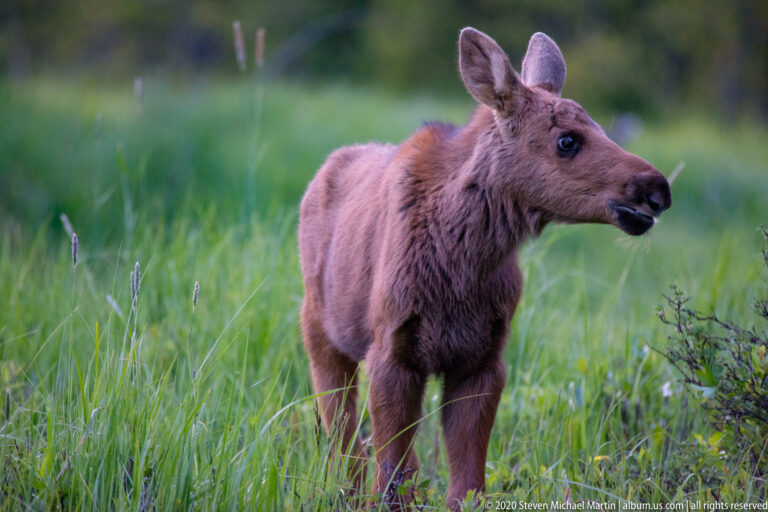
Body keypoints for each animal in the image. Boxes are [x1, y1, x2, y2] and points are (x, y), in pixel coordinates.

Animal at [298, 27, 671, 510]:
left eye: (604, 128)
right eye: (567, 140)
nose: (657, 189)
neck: (464, 265)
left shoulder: (483, 358)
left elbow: (467, 481)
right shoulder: (391, 350)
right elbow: (392, 472)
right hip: (320, 335)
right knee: (343, 437)